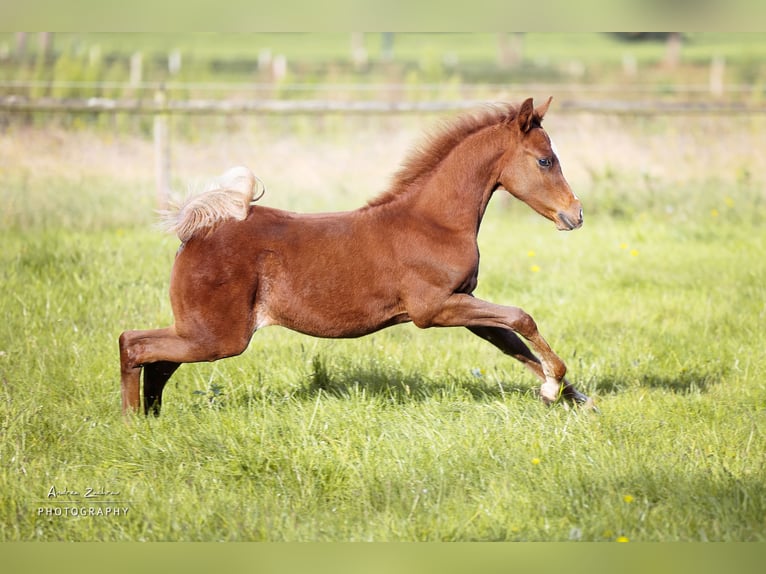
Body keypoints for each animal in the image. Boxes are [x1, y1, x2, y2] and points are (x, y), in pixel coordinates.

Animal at [120, 97, 592, 416]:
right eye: (546, 160)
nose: (576, 214)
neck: (433, 222)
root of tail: (193, 232)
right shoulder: (434, 309)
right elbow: (521, 318)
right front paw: (556, 387)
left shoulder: (464, 304)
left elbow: (514, 345)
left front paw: (573, 397)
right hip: (219, 337)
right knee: (134, 344)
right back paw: (131, 423)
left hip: (203, 332)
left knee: (157, 362)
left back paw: (151, 418)